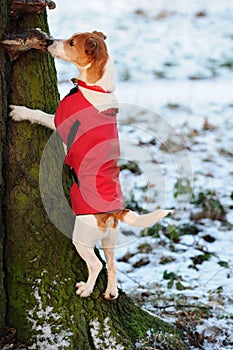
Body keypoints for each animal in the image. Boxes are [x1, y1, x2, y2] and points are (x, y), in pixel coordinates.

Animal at [9, 31, 169, 300]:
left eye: (72, 42)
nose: (49, 41)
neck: (96, 87)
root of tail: (113, 212)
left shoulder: (58, 121)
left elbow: (40, 115)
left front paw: (20, 112)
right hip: (110, 240)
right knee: (112, 264)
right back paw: (111, 292)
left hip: (82, 237)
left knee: (95, 265)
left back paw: (85, 289)